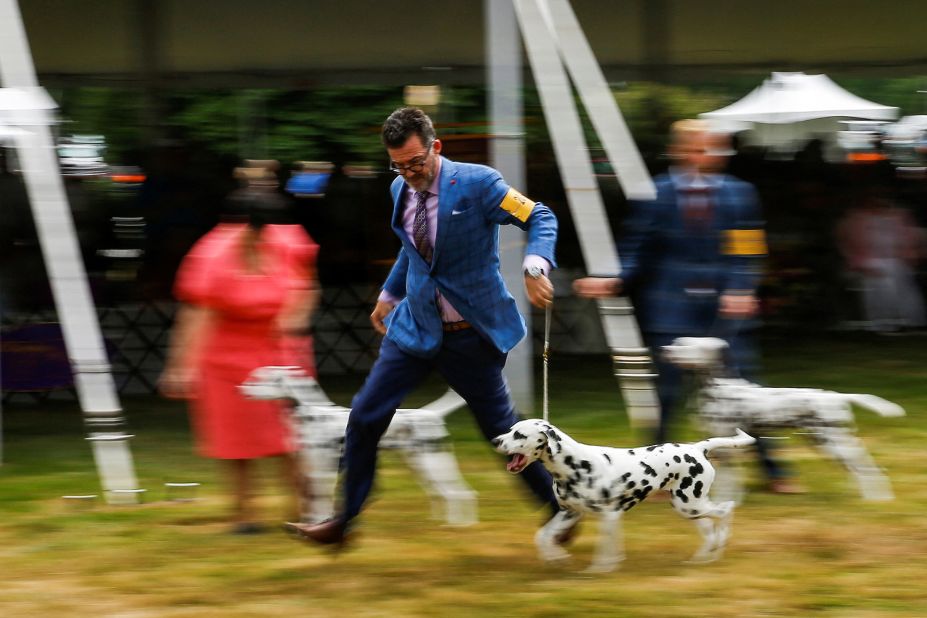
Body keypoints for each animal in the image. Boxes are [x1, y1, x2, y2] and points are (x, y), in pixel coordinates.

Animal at [239, 364, 478, 528]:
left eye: (260, 380)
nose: (240, 389)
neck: (309, 417)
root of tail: (433, 414)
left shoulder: (323, 473)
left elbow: (322, 504)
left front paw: (319, 526)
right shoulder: (310, 471)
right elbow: (311, 504)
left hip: (435, 462)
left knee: (462, 493)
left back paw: (459, 527)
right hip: (421, 465)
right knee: (442, 494)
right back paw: (439, 523)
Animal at [492, 416, 752, 572]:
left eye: (519, 434)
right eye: (510, 430)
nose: (495, 440)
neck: (574, 465)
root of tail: (697, 448)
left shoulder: (609, 516)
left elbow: (603, 549)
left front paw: (599, 570)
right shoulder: (570, 513)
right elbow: (543, 536)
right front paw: (556, 557)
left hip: (691, 504)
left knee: (726, 509)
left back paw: (721, 543)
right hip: (688, 508)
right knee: (710, 529)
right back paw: (704, 557)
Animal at [664, 336, 904, 500]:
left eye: (690, 346)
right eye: (678, 342)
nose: (664, 349)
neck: (716, 390)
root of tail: (836, 396)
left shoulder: (727, 448)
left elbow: (728, 483)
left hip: (835, 441)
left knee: (868, 468)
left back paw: (877, 500)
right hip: (825, 443)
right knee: (855, 470)